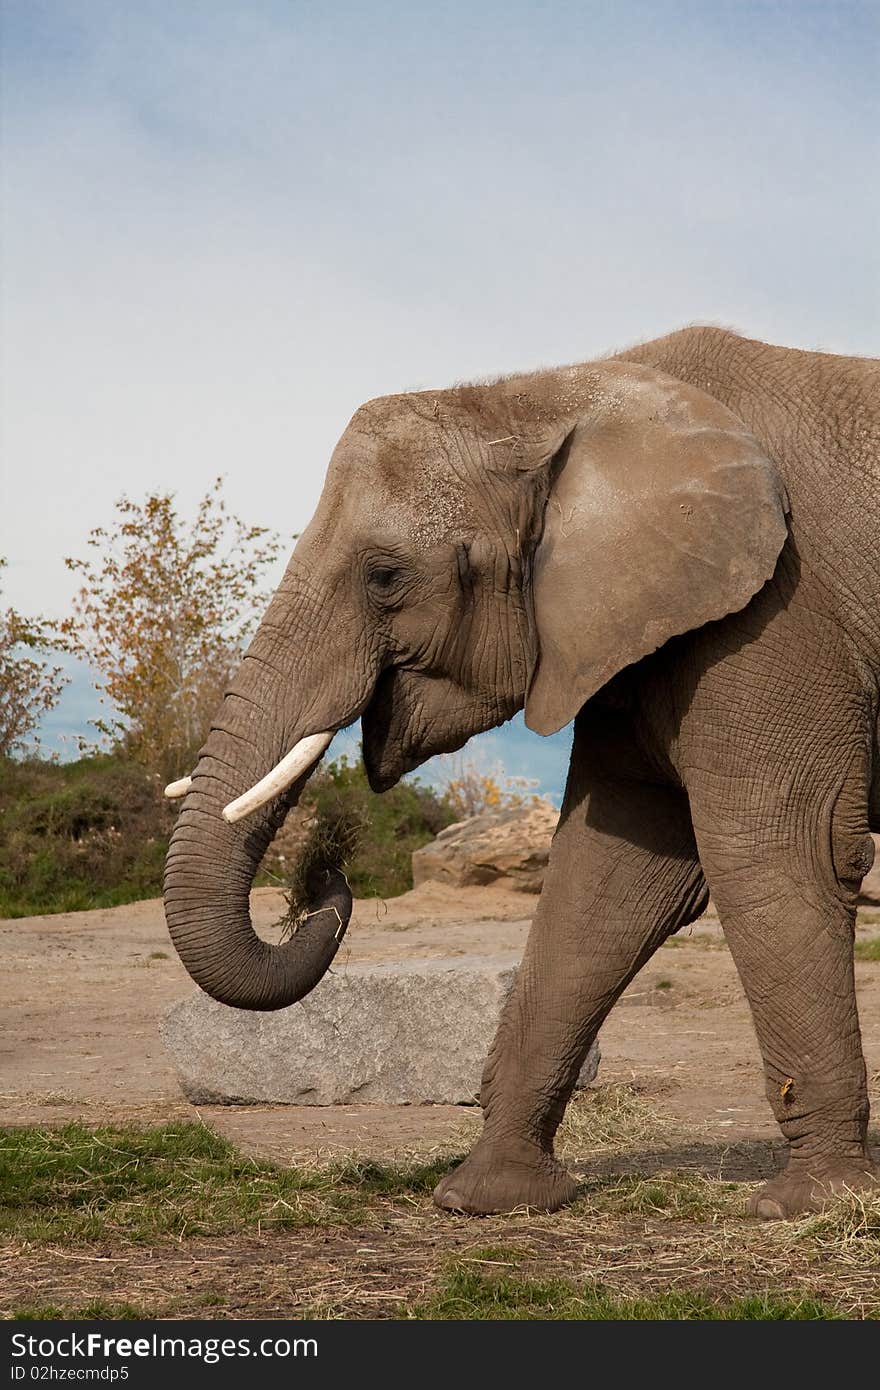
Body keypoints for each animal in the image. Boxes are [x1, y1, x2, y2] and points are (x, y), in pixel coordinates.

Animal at [163, 325, 878, 1217]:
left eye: (385, 577)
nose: (325, 871)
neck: (543, 398)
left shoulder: (775, 614)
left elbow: (777, 852)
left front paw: (812, 1206)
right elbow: (609, 877)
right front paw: (484, 1198)